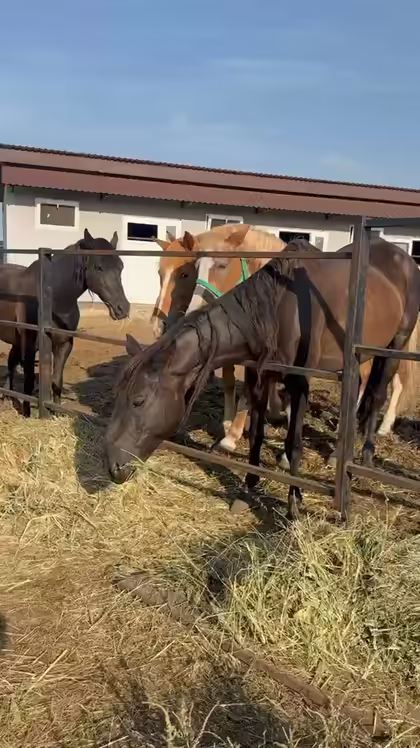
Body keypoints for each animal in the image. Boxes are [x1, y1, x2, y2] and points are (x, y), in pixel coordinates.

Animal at [0, 229, 130, 416]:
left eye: (120, 267)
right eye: (99, 267)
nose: (123, 308)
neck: (51, 297)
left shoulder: (63, 344)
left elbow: (56, 381)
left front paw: (56, 412)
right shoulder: (30, 346)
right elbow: (29, 381)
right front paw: (27, 413)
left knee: (11, 363)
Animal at [151, 224, 287, 441]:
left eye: (184, 274)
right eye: (160, 274)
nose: (157, 325)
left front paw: (233, 435)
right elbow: (230, 382)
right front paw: (228, 422)